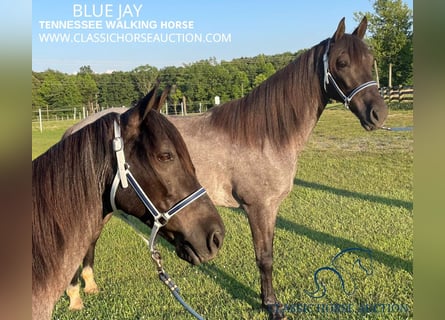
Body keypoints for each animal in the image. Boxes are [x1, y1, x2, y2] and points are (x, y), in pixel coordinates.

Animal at [61, 18, 386, 320]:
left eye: (370, 60)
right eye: (341, 62)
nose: (378, 114)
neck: (264, 135)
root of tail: (75, 129)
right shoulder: (258, 208)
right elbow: (265, 258)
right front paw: (272, 306)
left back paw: (89, 285)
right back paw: (75, 295)